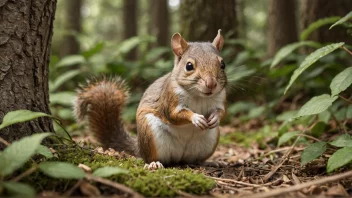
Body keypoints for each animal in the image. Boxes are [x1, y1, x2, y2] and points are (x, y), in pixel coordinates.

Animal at [75, 30, 228, 169]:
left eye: (223, 64)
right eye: (189, 66)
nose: (211, 84)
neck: (199, 95)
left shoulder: (221, 98)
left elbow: (221, 112)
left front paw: (215, 118)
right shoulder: (170, 98)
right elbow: (174, 115)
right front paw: (196, 118)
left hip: (210, 140)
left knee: (195, 160)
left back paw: (210, 162)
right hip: (150, 133)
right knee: (150, 157)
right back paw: (154, 163)